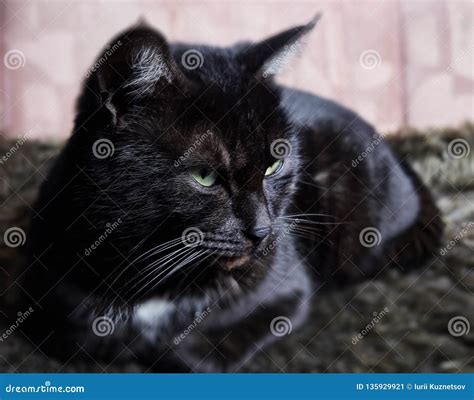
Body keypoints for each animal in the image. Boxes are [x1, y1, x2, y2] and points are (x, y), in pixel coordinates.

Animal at [20, 15, 442, 372]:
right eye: (205, 176)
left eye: (275, 164)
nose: (263, 231)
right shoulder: (49, 312)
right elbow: (83, 339)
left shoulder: (287, 294)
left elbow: (197, 355)